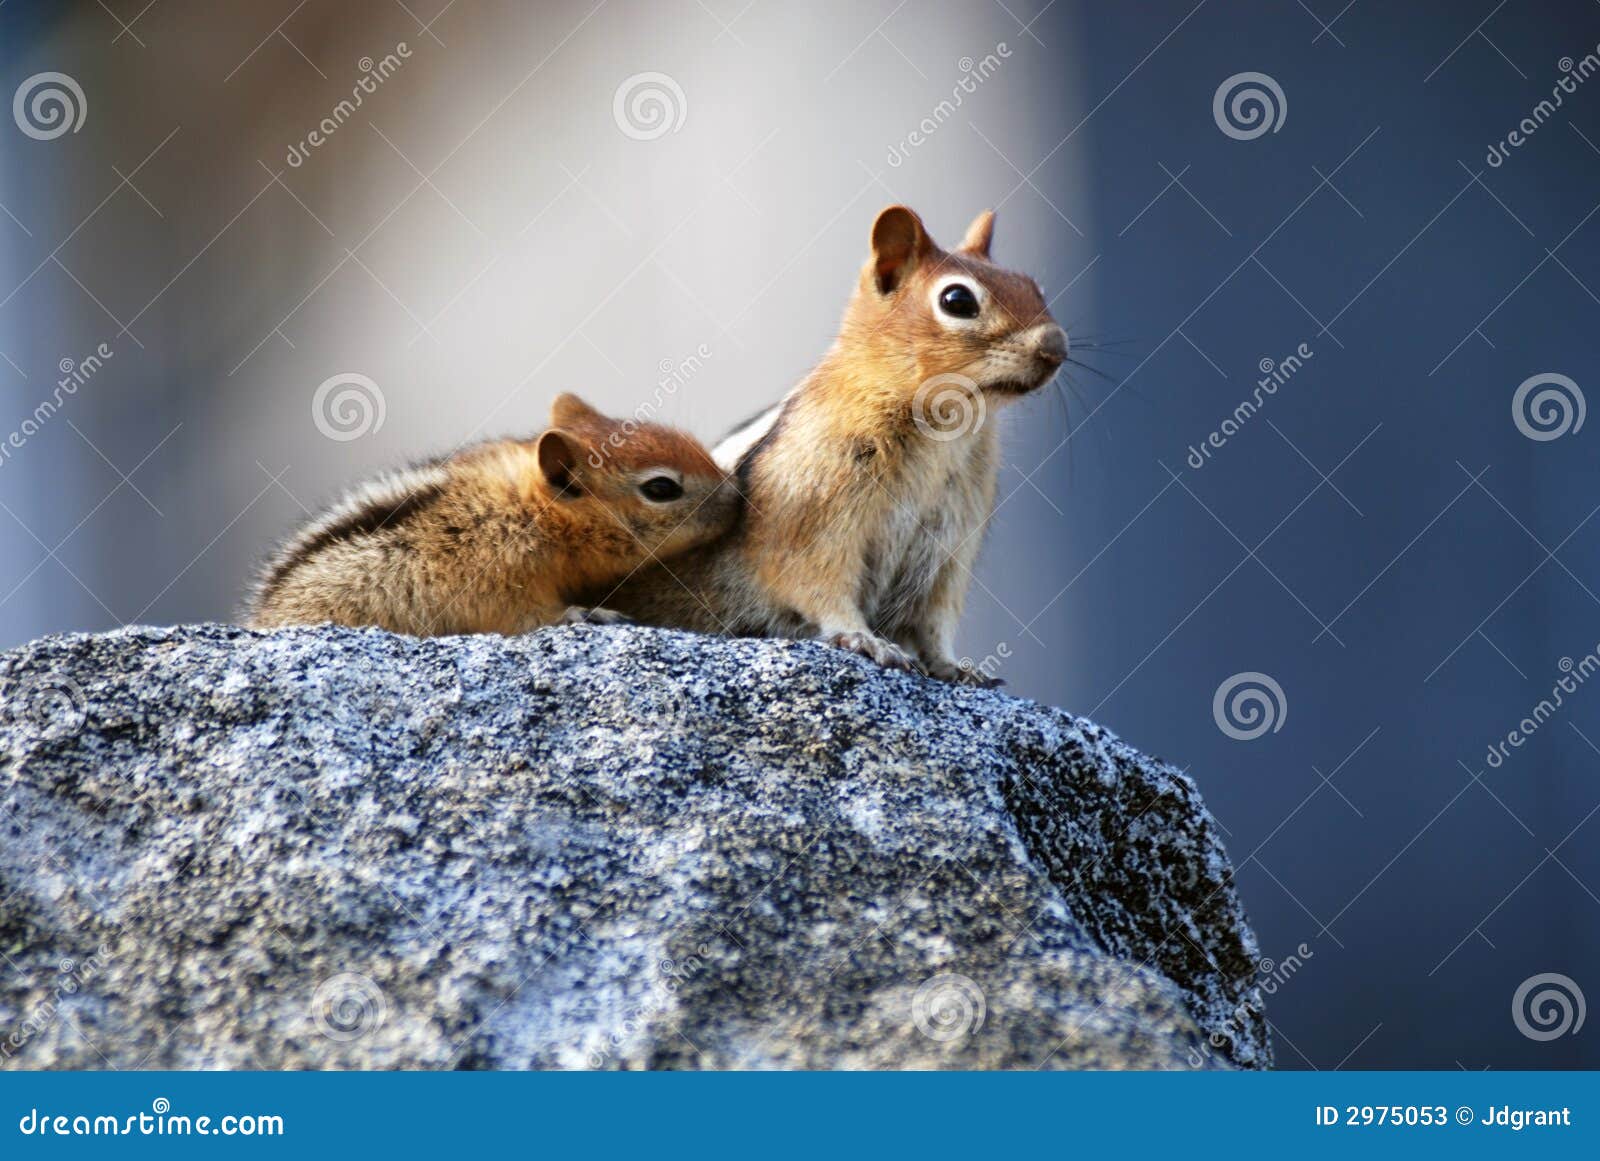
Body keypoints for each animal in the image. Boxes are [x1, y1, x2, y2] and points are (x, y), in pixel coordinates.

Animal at [244, 398, 736, 636]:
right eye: (661, 489)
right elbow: (525, 618)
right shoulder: (495, 579)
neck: (529, 511)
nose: (737, 496)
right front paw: (586, 613)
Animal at [582, 206, 1068, 687]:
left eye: (1034, 287)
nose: (1056, 346)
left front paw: (956, 666)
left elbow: (936, 621)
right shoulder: (813, 514)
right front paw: (866, 639)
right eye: (957, 301)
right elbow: (818, 583)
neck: (944, 425)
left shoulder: (950, 548)